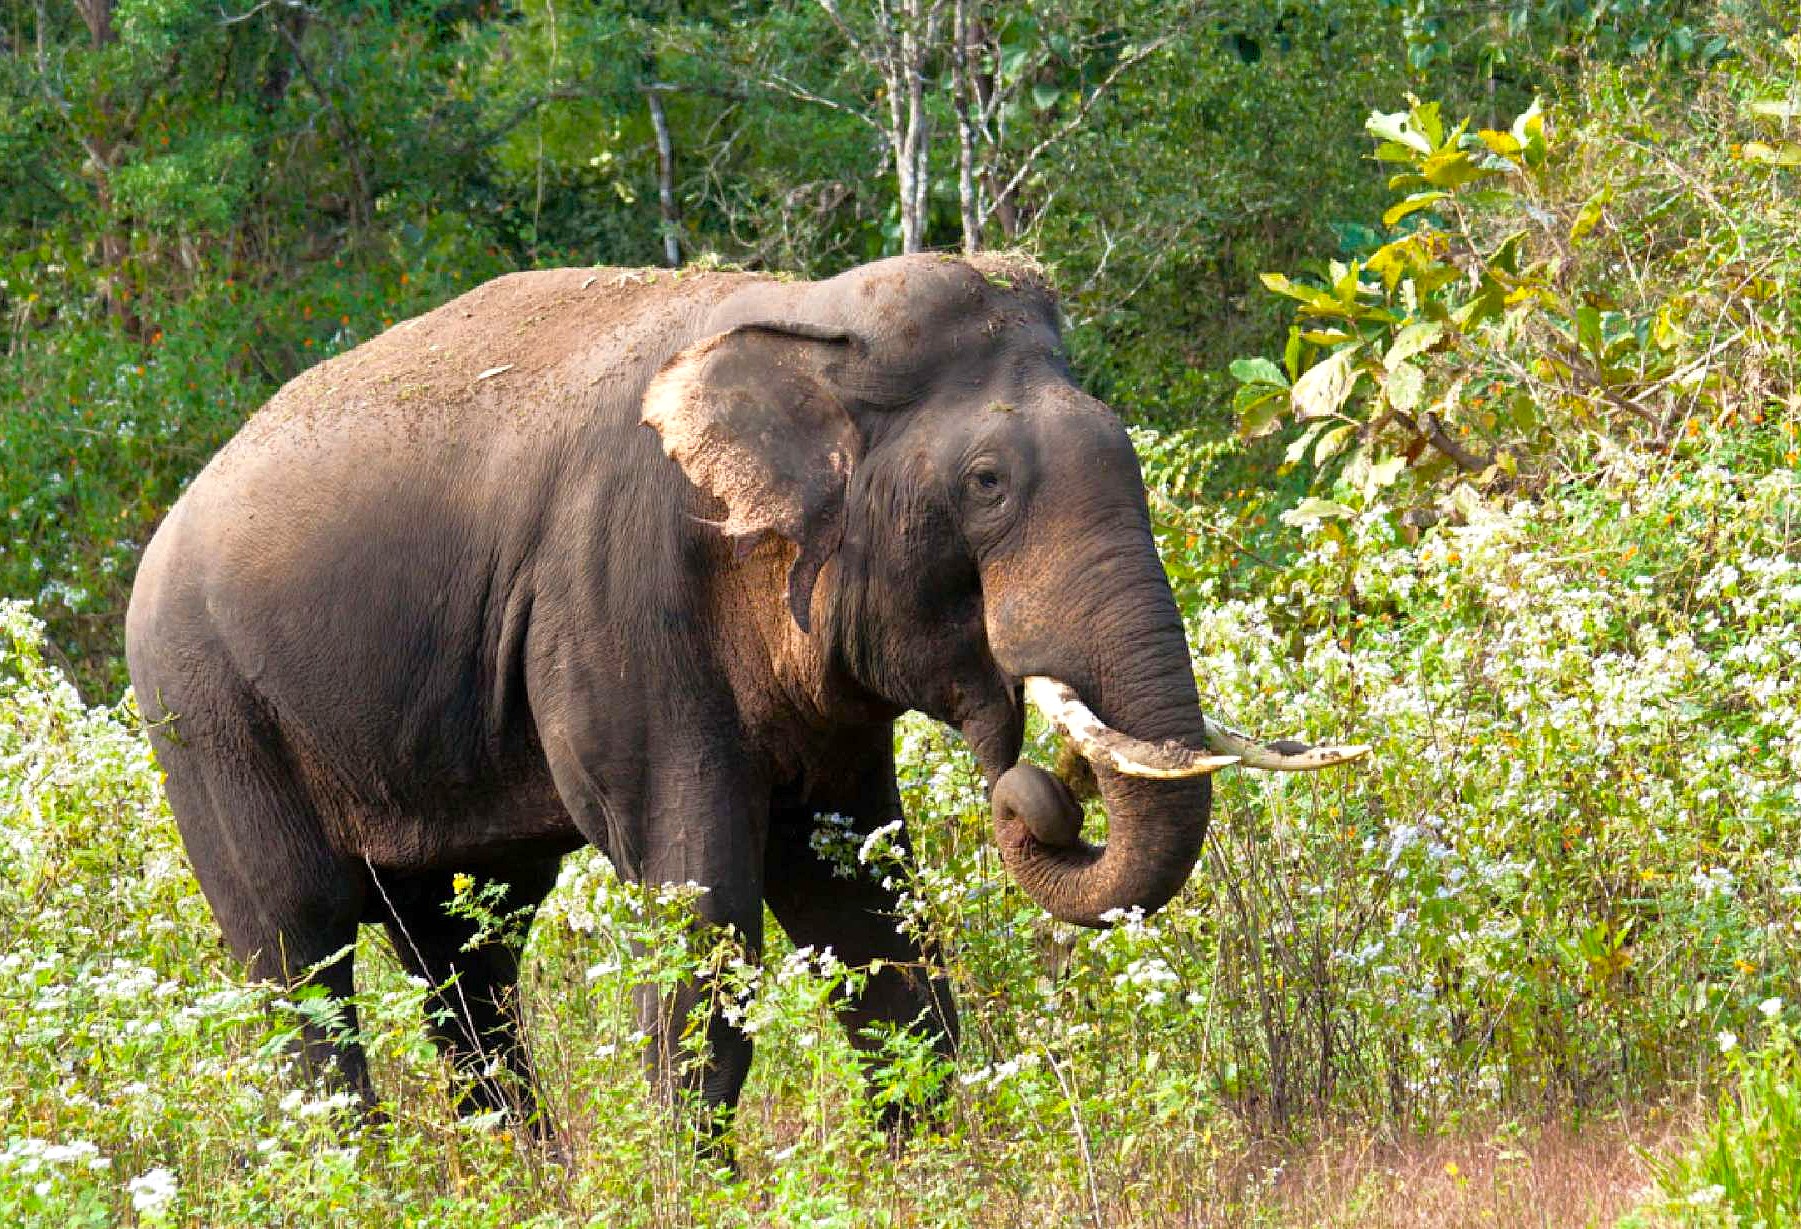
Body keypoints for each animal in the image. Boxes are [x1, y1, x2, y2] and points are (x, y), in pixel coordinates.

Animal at [125, 252, 1364, 1140]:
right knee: (297, 951)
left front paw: (919, 1162)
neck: (804, 317)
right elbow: (698, 903)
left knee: (467, 956)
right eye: (986, 483)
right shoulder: (617, 598)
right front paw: (691, 1179)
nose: (1038, 793)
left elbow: (858, 905)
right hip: (205, 714)